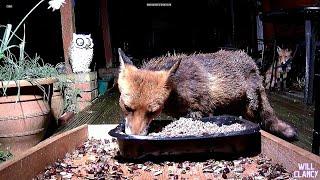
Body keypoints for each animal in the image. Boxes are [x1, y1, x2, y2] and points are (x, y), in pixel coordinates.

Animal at [117, 48, 298, 140]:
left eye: (152, 112)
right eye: (126, 107)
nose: (134, 136)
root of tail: (252, 62)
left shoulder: (206, 108)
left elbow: (201, 114)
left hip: (251, 101)